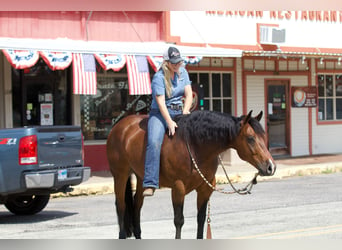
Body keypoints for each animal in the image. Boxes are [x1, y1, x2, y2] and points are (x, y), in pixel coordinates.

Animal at [107, 110, 278, 239]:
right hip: (120, 175)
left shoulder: (205, 188)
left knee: (137, 205)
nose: (271, 167)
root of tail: (120, 127)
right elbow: (179, 220)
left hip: (142, 177)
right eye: (250, 138)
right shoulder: (178, 188)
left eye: (263, 137)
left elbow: (201, 219)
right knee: (121, 206)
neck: (196, 145)